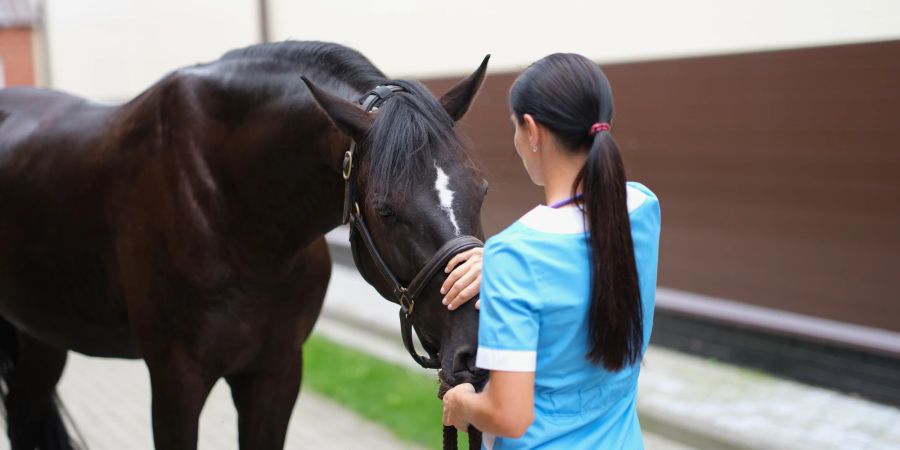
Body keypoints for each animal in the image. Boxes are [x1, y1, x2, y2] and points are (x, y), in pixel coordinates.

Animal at [0, 40, 488, 448]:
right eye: (385, 210)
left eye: (481, 190)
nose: (476, 348)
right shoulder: (176, 381)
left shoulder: (275, 373)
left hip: (41, 337)